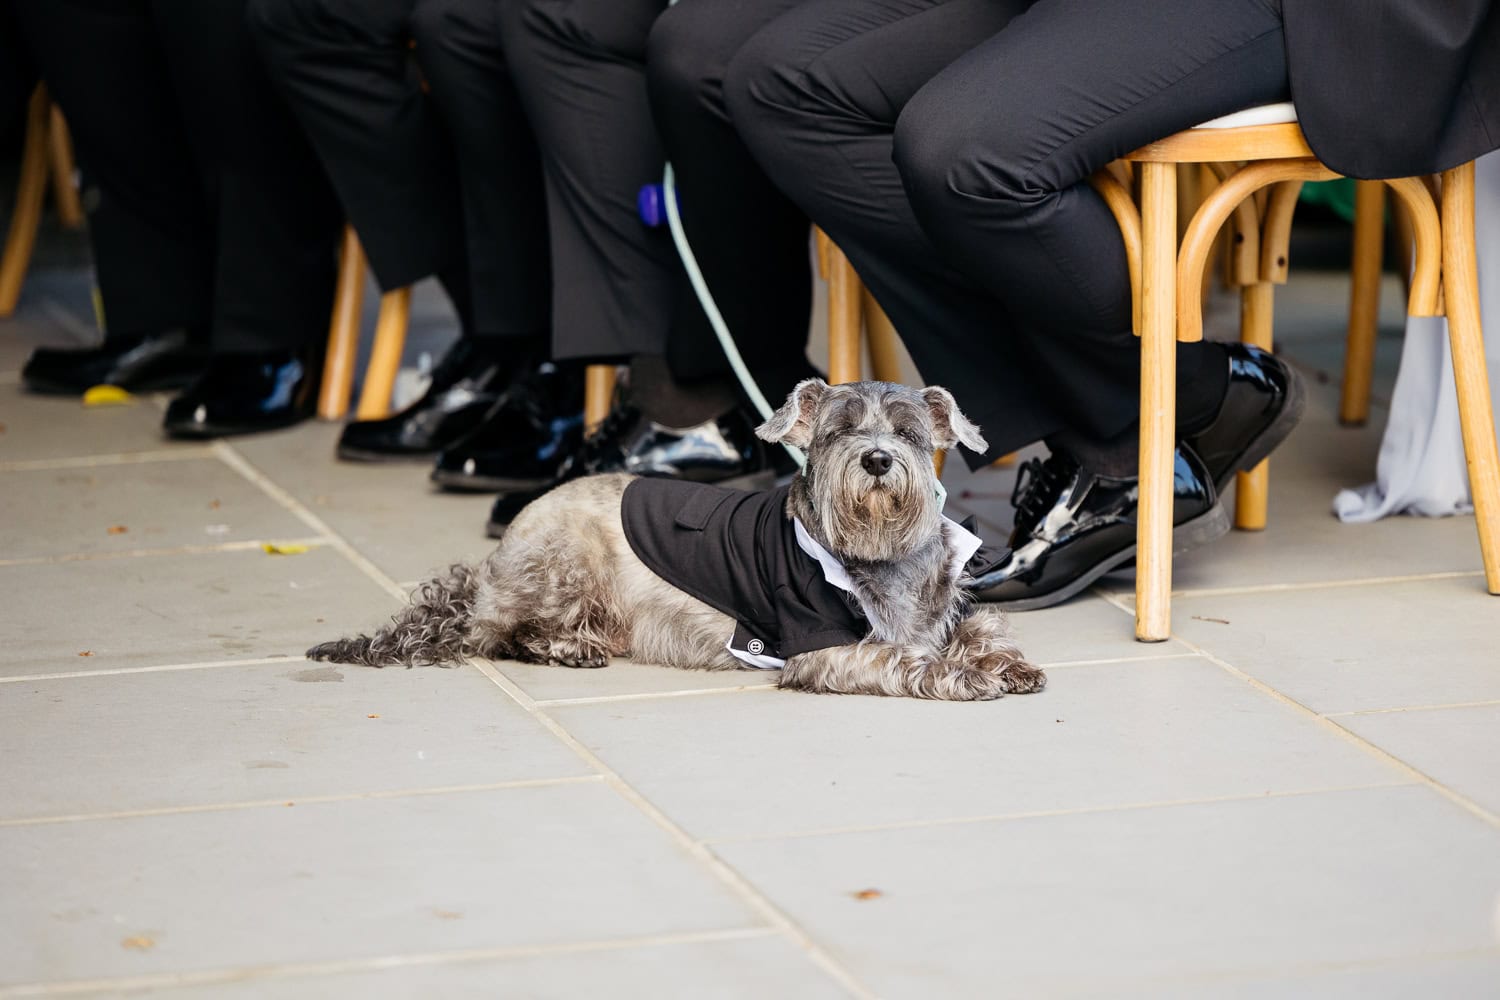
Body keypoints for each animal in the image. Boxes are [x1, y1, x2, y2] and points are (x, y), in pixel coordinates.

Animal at [310, 379, 1050, 701]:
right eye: (841, 429)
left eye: (908, 431)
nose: (875, 460)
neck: (882, 556)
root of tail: (493, 562)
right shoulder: (825, 651)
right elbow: (903, 658)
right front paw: (966, 675)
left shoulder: (940, 612)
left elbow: (980, 626)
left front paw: (1003, 661)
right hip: (566, 567)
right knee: (499, 633)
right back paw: (566, 647)